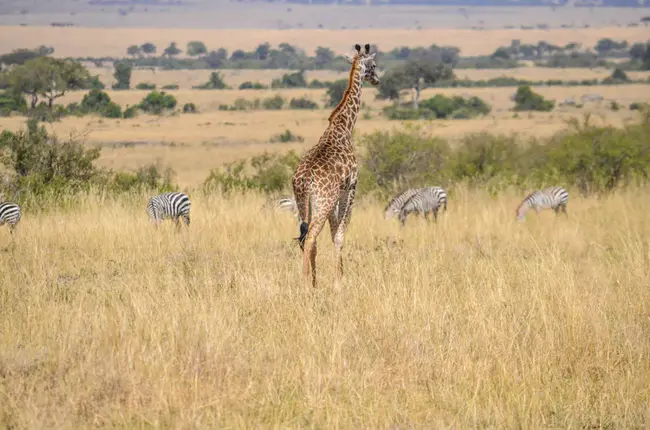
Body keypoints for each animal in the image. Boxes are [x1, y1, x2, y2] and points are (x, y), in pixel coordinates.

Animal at [290, 42, 378, 288]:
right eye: (374, 65)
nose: (377, 80)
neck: (344, 127)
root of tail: (305, 179)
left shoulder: (337, 194)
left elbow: (332, 234)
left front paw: (331, 280)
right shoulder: (351, 187)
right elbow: (339, 235)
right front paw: (340, 282)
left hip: (303, 203)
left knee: (306, 237)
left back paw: (313, 283)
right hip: (323, 202)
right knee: (310, 236)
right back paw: (304, 283)